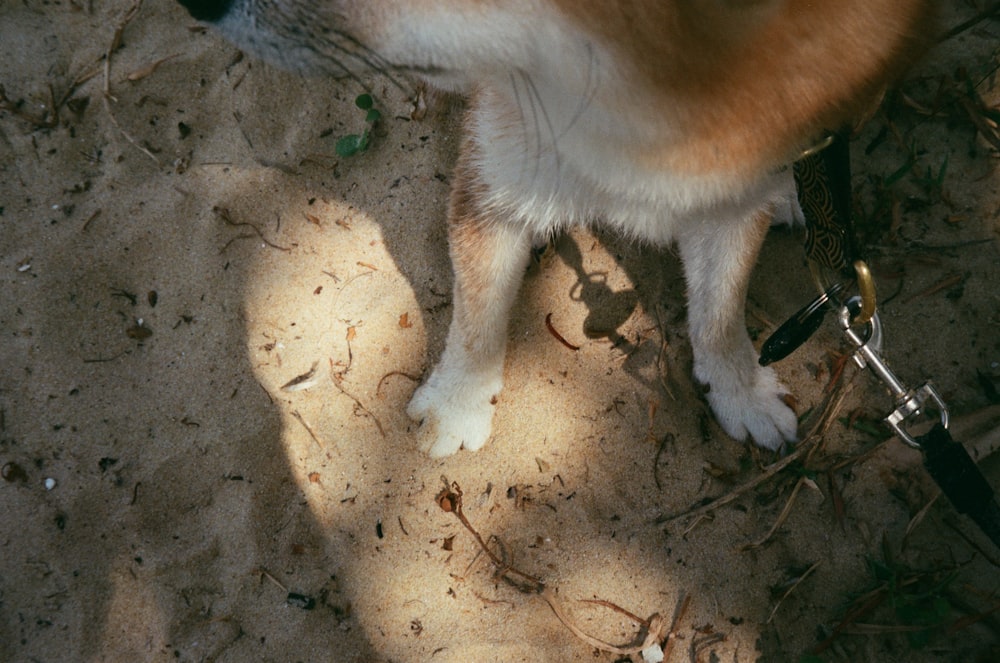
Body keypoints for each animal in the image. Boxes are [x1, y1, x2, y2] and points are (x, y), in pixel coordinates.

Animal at [176, 0, 932, 456]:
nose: (197, 4)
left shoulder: (725, 203)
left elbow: (719, 316)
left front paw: (740, 390)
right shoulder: (493, 191)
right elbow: (478, 322)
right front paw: (457, 406)